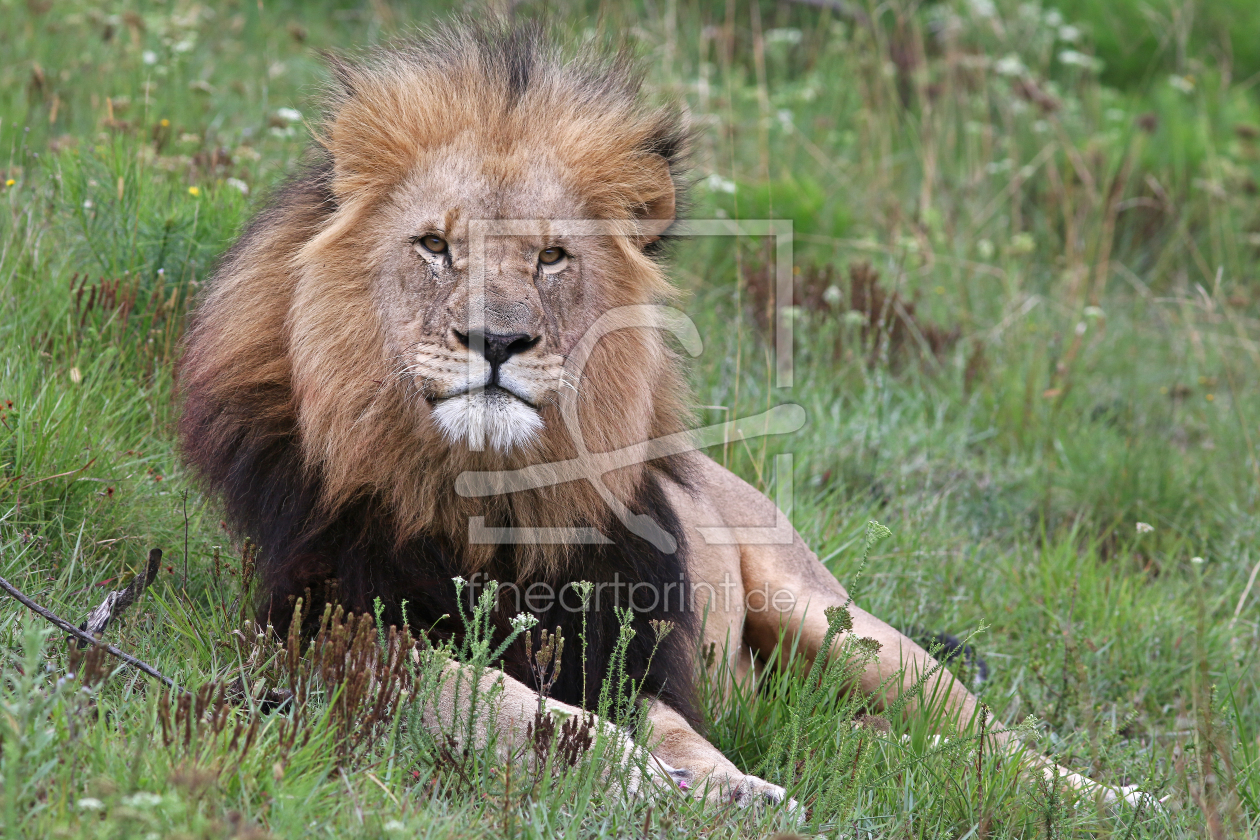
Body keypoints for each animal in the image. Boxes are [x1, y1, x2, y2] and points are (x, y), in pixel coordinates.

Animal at [182, 19, 1149, 816]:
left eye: (552, 257)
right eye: (434, 246)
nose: (497, 339)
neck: (489, 495)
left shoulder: (615, 641)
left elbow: (663, 724)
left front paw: (725, 784)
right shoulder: (315, 621)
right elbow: (497, 701)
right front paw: (652, 779)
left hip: (841, 626)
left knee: (986, 735)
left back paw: (1112, 797)